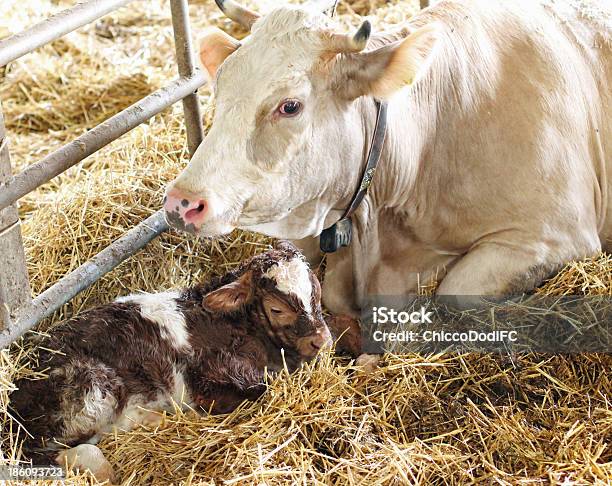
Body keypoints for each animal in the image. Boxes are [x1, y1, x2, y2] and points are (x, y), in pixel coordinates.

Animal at [9, 242, 330, 482]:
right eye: (277, 309)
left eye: (317, 290)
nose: (321, 340)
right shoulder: (208, 382)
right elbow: (259, 389)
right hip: (92, 390)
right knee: (40, 454)